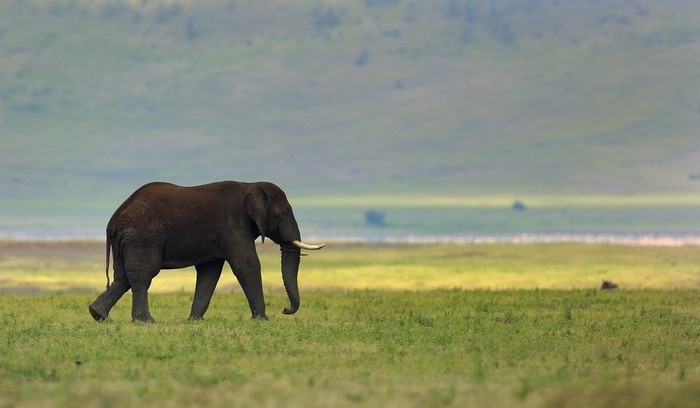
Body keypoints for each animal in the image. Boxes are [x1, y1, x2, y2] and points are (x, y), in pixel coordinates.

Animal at [88, 181, 324, 323]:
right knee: (143, 275)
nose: (285, 310)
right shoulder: (234, 226)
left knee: (123, 278)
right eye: (284, 212)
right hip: (143, 238)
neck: (250, 185)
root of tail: (114, 219)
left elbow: (209, 273)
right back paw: (146, 322)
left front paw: (194, 321)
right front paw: (262, 320)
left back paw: (97, 314)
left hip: (127, 240)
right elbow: (247, 265)